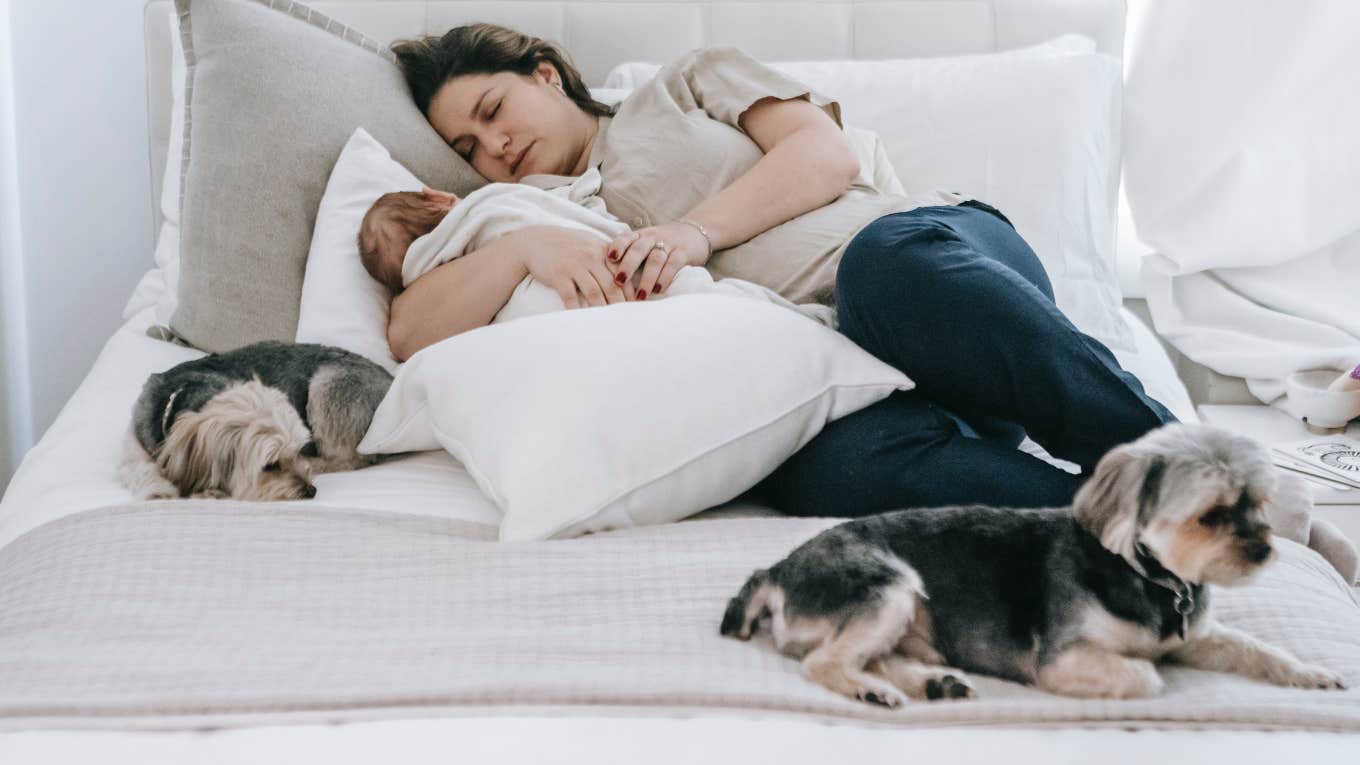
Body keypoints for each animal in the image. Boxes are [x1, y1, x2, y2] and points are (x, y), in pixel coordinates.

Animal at [119, 340, 391, 500]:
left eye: (297, 449)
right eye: (271, 465)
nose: (311, 491)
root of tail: (390, 379)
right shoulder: (133, 440)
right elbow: (139, 467)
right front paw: (159, 490)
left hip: (327, 388)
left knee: (352, 459)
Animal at [723, 421, 1349, 702]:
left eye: (1259, 502)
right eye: (1212, 515)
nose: (1266, 549)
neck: (1150, 576)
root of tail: (775, 570)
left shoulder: (1196, 634)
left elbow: (1255, 649)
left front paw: (1310, 673)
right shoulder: (1063, 659)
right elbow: (1148, 674)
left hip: (909, 619)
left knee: (877, 655)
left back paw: (933, 683)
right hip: (887, 586)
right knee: (822, 662)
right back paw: (874, 691)